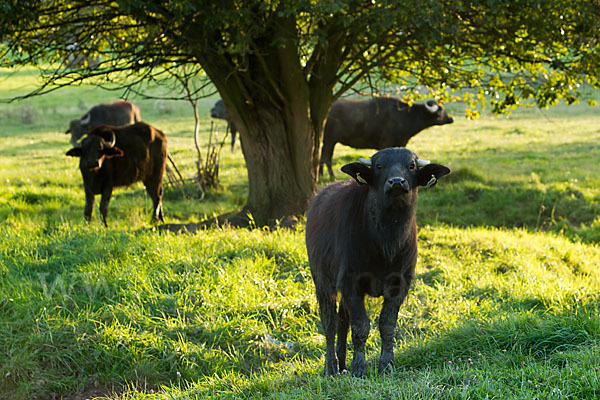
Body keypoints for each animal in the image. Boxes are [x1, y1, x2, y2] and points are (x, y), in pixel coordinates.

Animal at [308, 148, 448, 378]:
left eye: (411, 165)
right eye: (380, 166)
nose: (397, 182)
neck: (386, 244)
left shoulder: (401, 283)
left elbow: (387, 325)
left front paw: (387, 364)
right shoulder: (350, 282)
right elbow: (361, 327)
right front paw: (359, 368)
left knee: (342, 320)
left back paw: (342, 363)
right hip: (321, 280)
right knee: (329, 323)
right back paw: (331, 366)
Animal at [318, 97, 454, 178]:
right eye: (441, 111)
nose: (451, 118)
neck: (404, 115)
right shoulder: (386, 143)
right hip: (329, 140)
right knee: (326, 158)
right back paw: (329, 176)